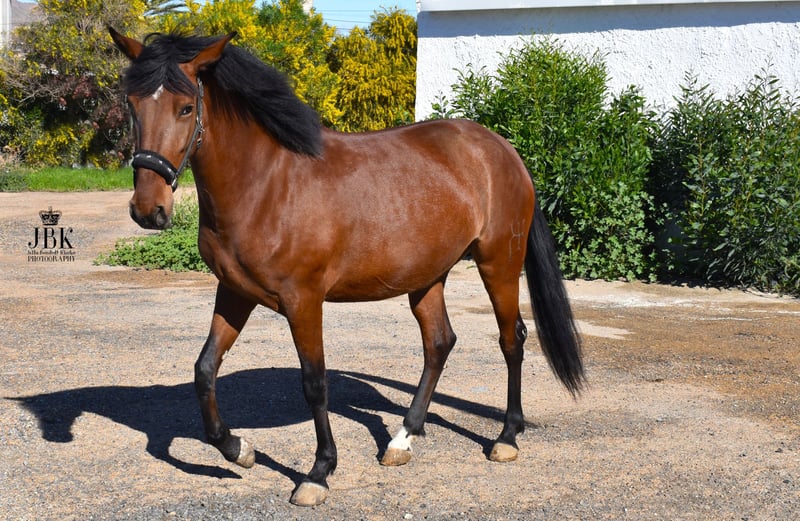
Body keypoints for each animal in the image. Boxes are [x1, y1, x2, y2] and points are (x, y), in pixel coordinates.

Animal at [109, 28, 584, 507]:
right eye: (132, 103)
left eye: (186, 107)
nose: (148, 210)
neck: (265, 184)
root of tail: (502, 149)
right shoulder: (235, 292)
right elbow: (205, 370)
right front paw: (238, 449)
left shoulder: (303, 301)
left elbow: (314, 382)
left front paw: (318, 473)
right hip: (427, 276)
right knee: (439, 343)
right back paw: (402, 440)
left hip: (498, 263)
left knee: (511, 339)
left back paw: (506, 437)